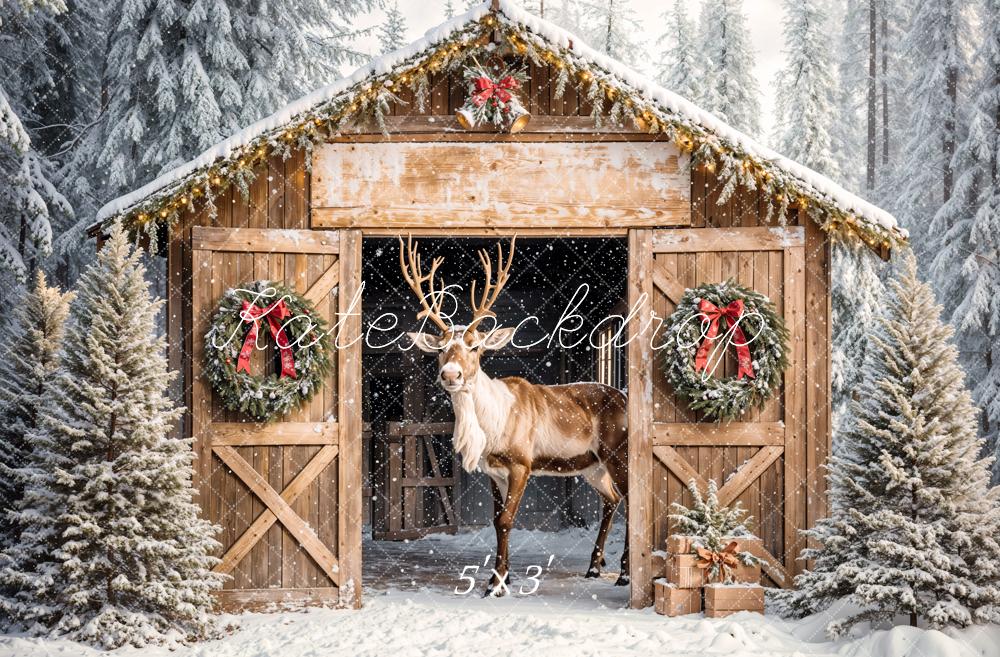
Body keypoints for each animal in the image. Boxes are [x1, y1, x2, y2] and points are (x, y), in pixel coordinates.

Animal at [399, 235, 629, 597]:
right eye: (440, 349)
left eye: (476, 346)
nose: (450, 374)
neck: (492, 428)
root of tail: (626, 398)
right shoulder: (493, 471)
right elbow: (496, 520)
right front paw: (501, 578)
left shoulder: (522, 463)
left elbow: (506, 520)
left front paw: (496, 585)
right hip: (592, 464)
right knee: (613, 498)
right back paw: (594, 567)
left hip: (618, 452)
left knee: (634, 498)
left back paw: (624, 574)